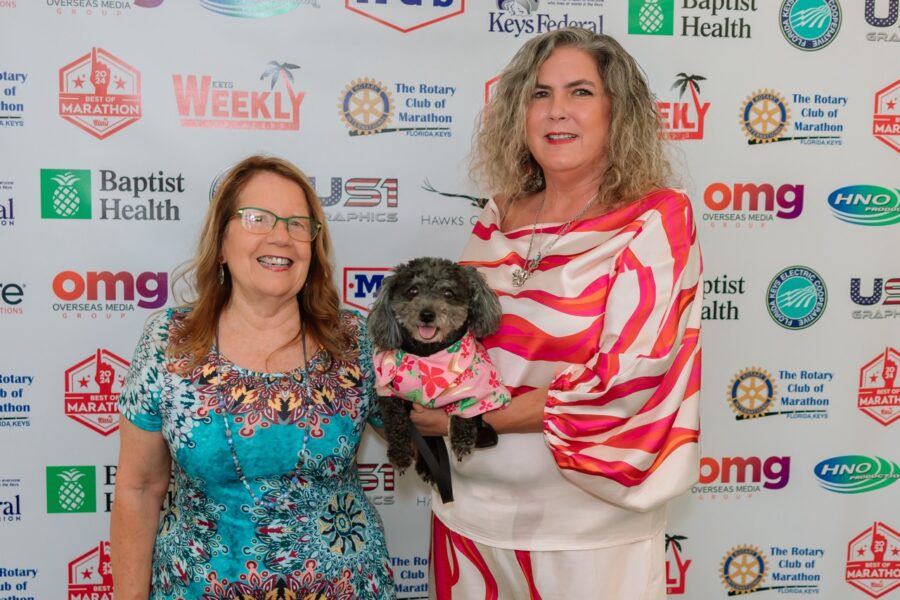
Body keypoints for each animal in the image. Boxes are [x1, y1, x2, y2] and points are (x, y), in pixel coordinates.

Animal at [368, 255, 506, 490]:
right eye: (413, 291)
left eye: (448, 293)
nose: (426, 314)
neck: (427, 355)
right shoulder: (388, 392)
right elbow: (396, 423)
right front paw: (400, 455)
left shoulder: (479, 383)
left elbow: (465, 409)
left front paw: (461, 441)